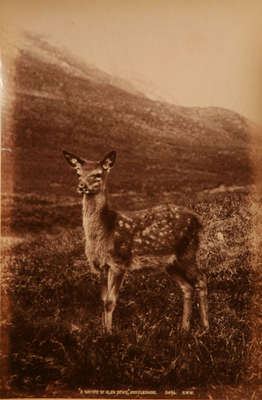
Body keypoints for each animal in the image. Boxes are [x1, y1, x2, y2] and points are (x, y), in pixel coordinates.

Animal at [62, 150, 209, 334]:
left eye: (98, 174)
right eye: (78, 173)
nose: (82, 186)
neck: (105, 230)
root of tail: (199, 220)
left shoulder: (119, 262)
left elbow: (110, 301)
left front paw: (109, 334)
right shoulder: (101, 267)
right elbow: (103, 300)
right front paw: (102, 331)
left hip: (188, 252)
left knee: (202, 280)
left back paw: (205, 327)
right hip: (171, 263)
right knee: (187, 287)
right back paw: (184, 328)